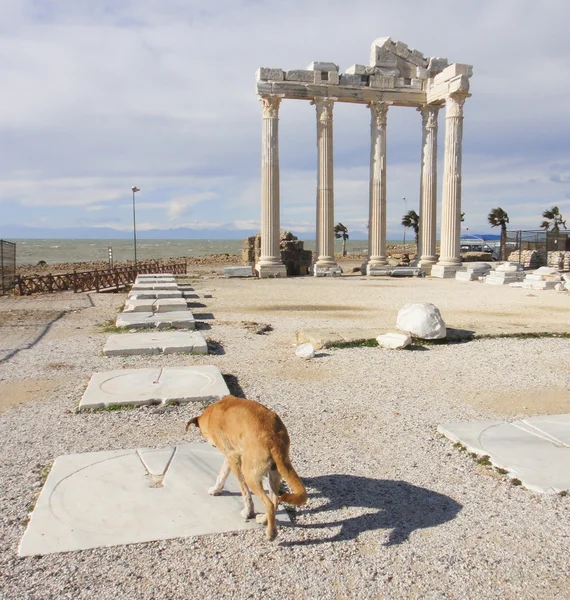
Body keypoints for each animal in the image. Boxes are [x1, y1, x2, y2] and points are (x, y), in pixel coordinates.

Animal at [185, 396, 302, 540]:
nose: (211, 444)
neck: (213, 412)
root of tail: (273, 440)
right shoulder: (230, 455)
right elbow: (222, 473)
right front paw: (216, 489)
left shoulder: (234, 457)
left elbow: (245, 492)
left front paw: (248, 512)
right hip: (274, 474)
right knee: (274, 502)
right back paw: (263, 519)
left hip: (250, 475)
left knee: (269, 503)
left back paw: (271, 533)